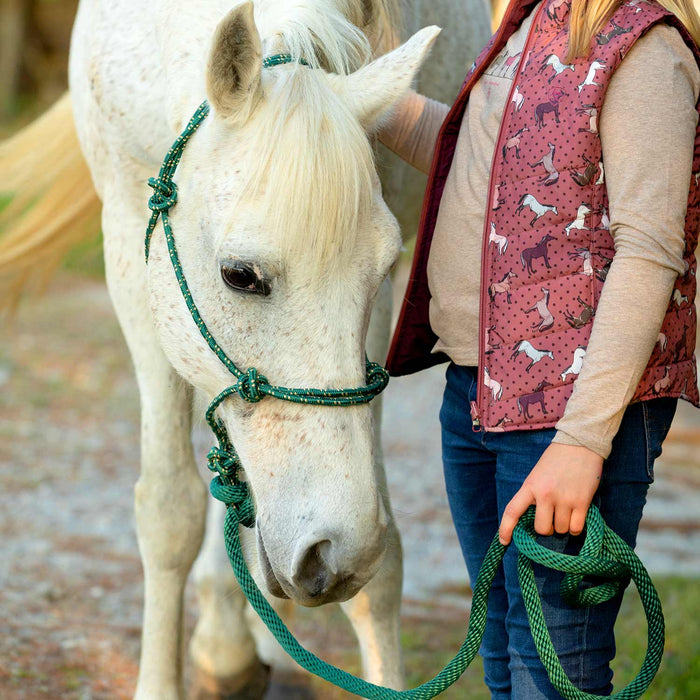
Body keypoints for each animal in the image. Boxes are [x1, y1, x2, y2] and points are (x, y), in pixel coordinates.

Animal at [1, 0, 492, 696]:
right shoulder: (128, 247)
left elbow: (383, 564)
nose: (333, 552)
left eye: (377, 273)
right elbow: (170, 512)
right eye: (240, 275)